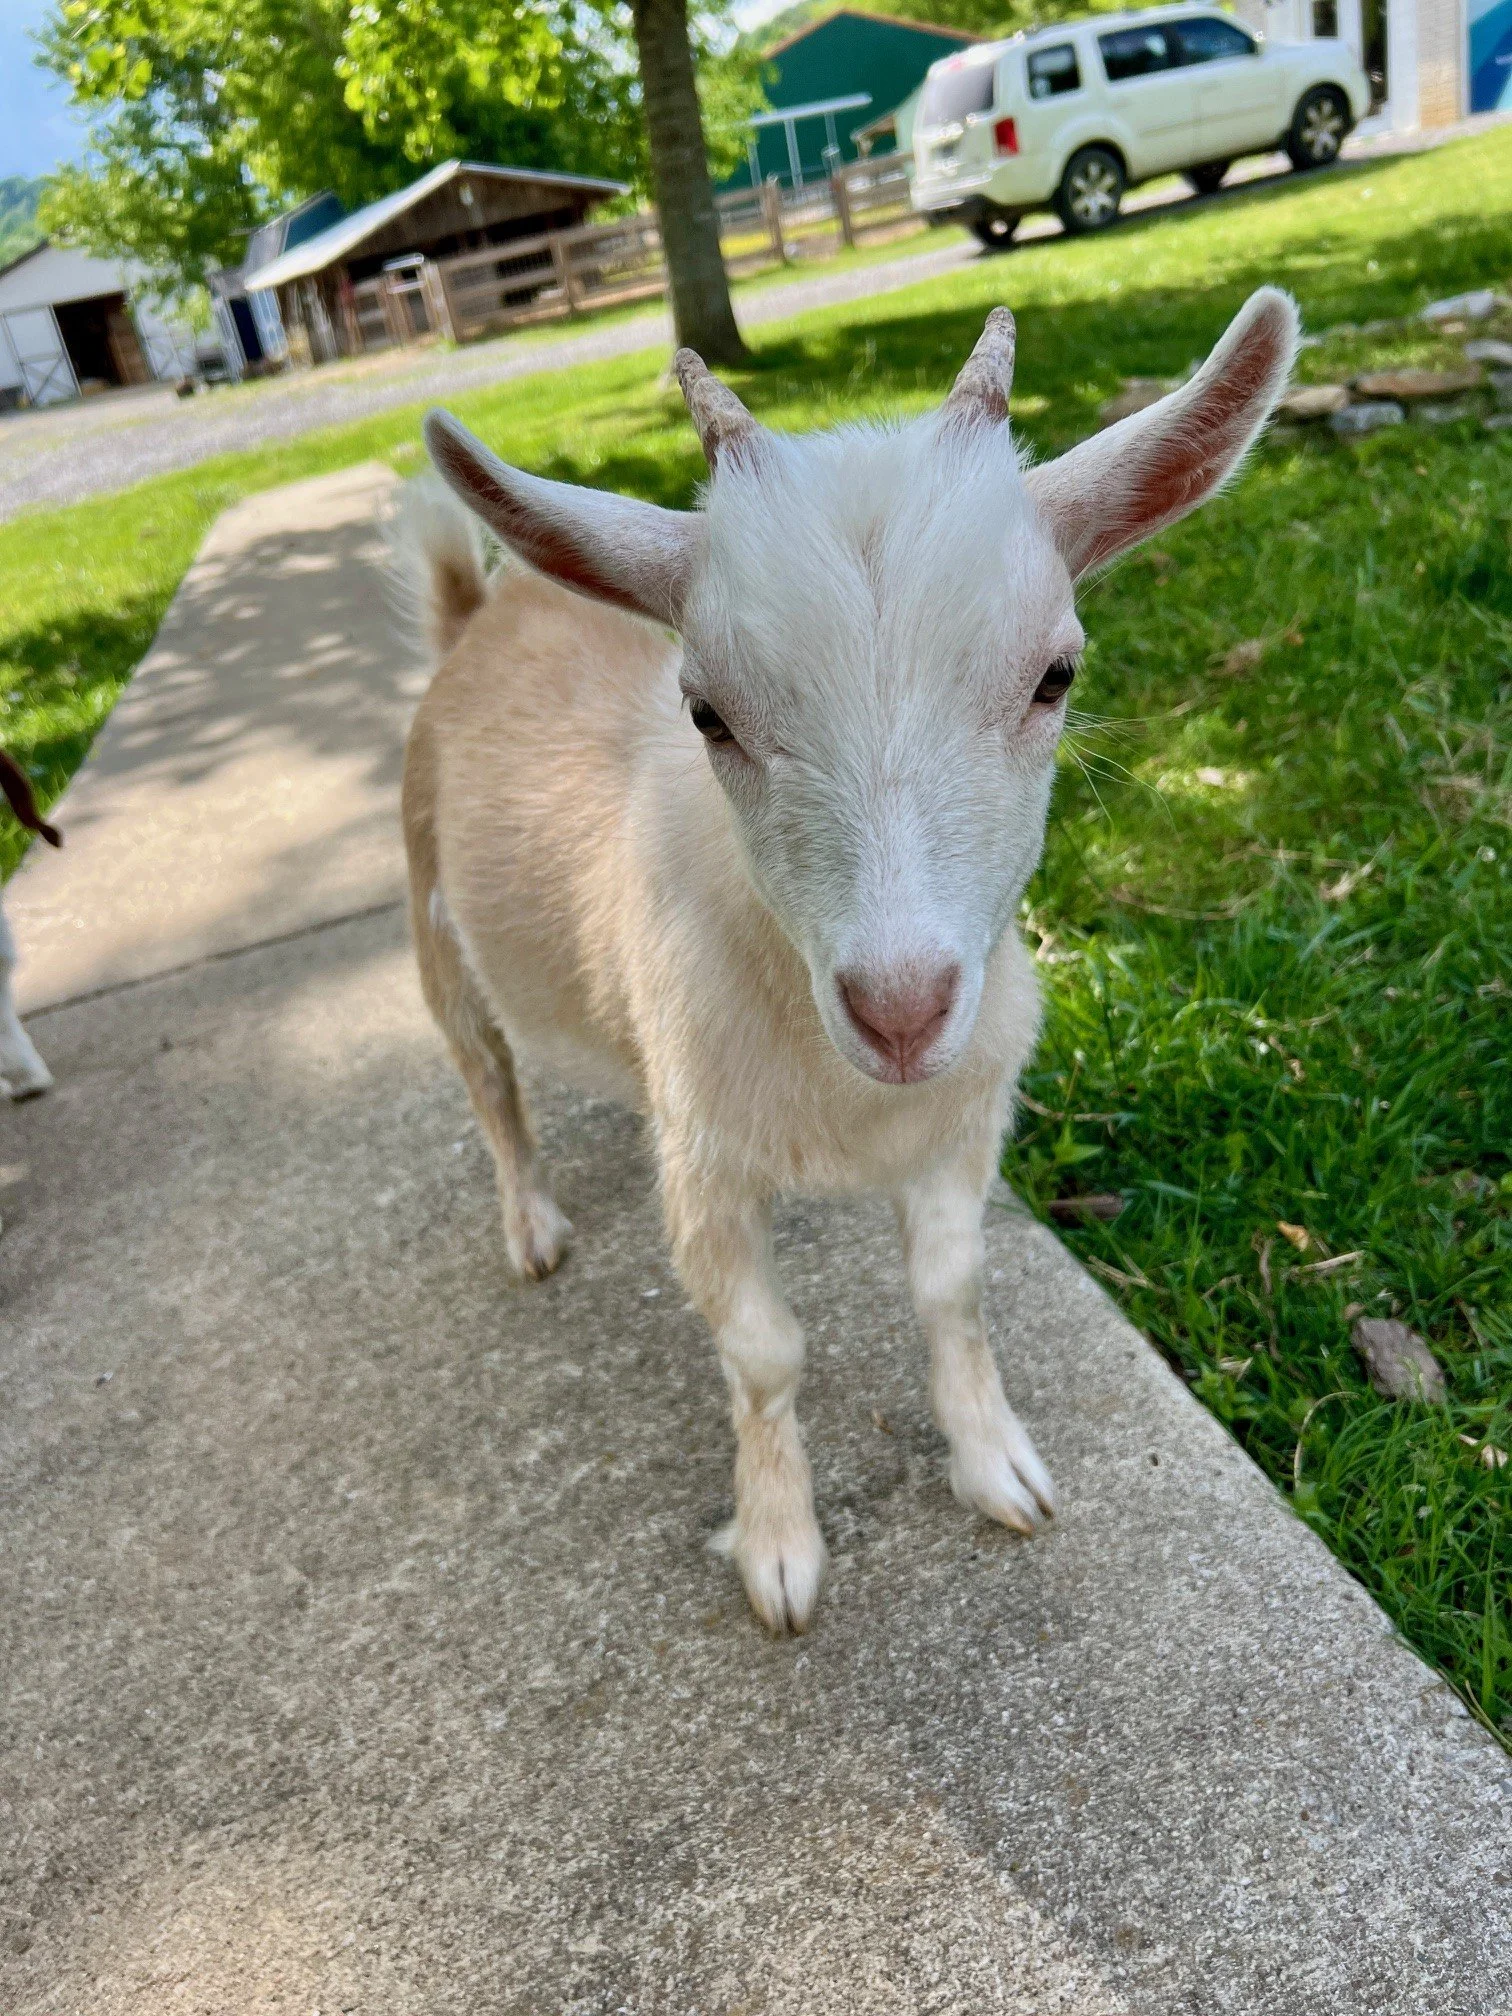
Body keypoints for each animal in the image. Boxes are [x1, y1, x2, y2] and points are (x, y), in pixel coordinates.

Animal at [394, 288, 1298, 1634]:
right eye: (706, 711)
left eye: (1056, 675)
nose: (902, 1010)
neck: (854, 1101)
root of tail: (477, 611)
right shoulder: (710, 1169)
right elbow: (765, 1353)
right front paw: (779, 1548)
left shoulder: (963, 1124)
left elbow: (952, 1290)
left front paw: (995, 1465)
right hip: (433, 933)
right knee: (493, 1090)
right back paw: (533, 1223)